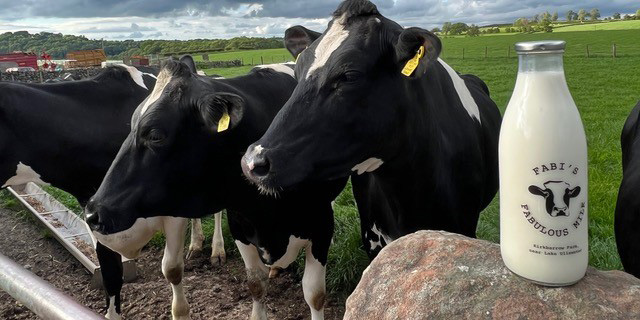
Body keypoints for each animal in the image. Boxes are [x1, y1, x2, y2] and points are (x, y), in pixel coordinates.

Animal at [85, 57, 344, 320]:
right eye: (131, 124)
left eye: (155, 135)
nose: (92, 213)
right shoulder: (240, 224)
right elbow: (256, 284)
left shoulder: (321, 226)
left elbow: (314, 294)